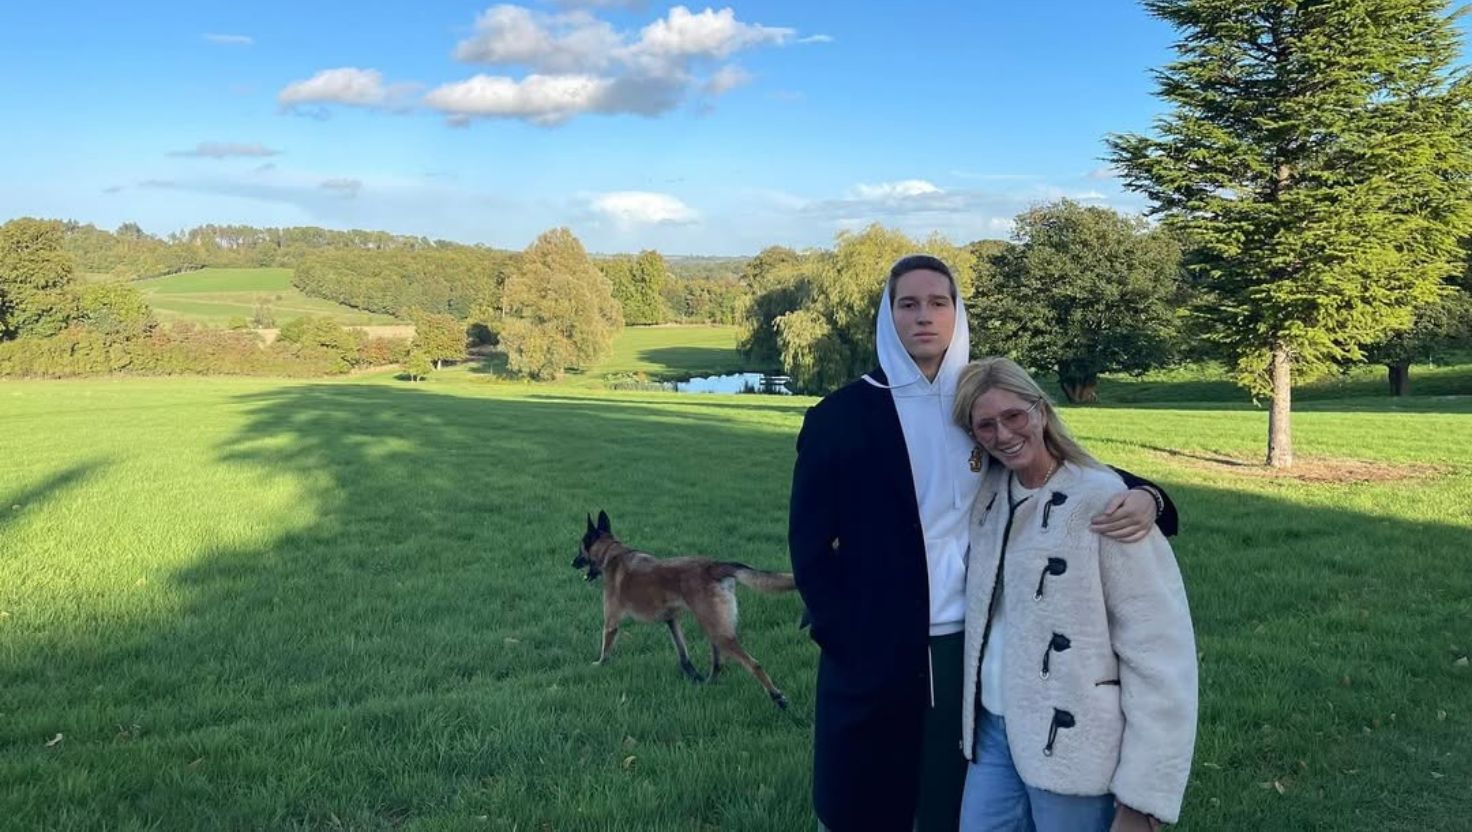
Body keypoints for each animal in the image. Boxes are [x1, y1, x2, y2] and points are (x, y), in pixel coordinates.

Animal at [573, 510, 796, 708]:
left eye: (580, 548)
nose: (572, 562)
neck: (612, 553)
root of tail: (713, 566)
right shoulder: (672, 620)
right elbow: (683, 655)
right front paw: (692, 675)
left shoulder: (611, 622)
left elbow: (606, 648)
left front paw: (599, 665)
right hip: (714, 627)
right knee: (718, 663)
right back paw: (708, 682)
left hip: (718, 631)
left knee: (753, 664)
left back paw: (777, 697)